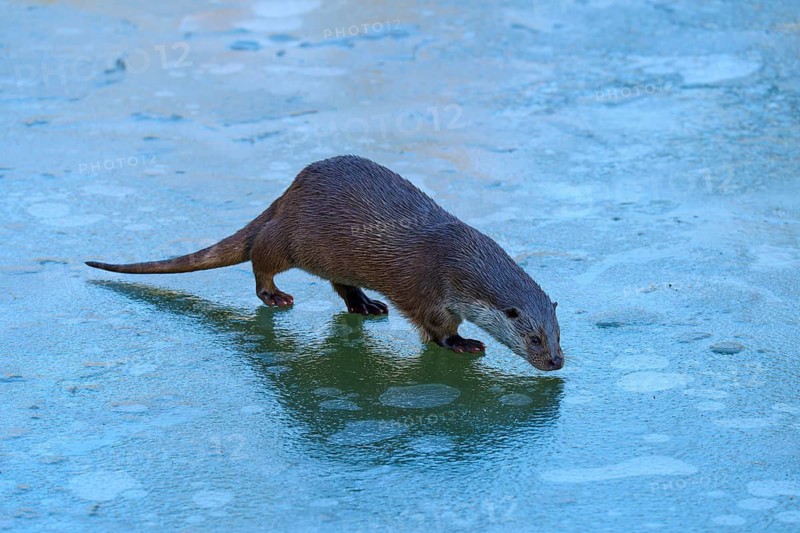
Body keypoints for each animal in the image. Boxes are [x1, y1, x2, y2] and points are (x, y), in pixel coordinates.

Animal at [86, 155, 563, 371]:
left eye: (559, 335)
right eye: (535, 338)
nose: (557, 363)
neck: (455, 257)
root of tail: (285, 196)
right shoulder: (427, 289)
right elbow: (436, 328)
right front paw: (463, 343)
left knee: (339, 283)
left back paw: (365, 305)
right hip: (290, 239)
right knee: (260, 256)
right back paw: (274, 296)